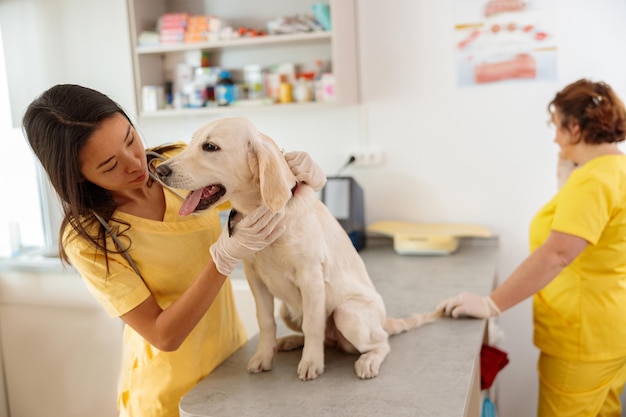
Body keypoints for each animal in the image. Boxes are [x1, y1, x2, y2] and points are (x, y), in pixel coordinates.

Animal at [156, 117, 438, 380]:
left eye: (210, 147)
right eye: (191, 142)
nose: (159, 169)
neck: (263, 210)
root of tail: (383, 322)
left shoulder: (310, 276)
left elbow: (313, 325)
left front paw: (312, 362)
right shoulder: (254, 278)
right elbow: (266, 321)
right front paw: (263, 355)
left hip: (347, 313)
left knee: (379, 343)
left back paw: (367, 360)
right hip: (287, 310)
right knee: (323, 336)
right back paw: (289, 342)